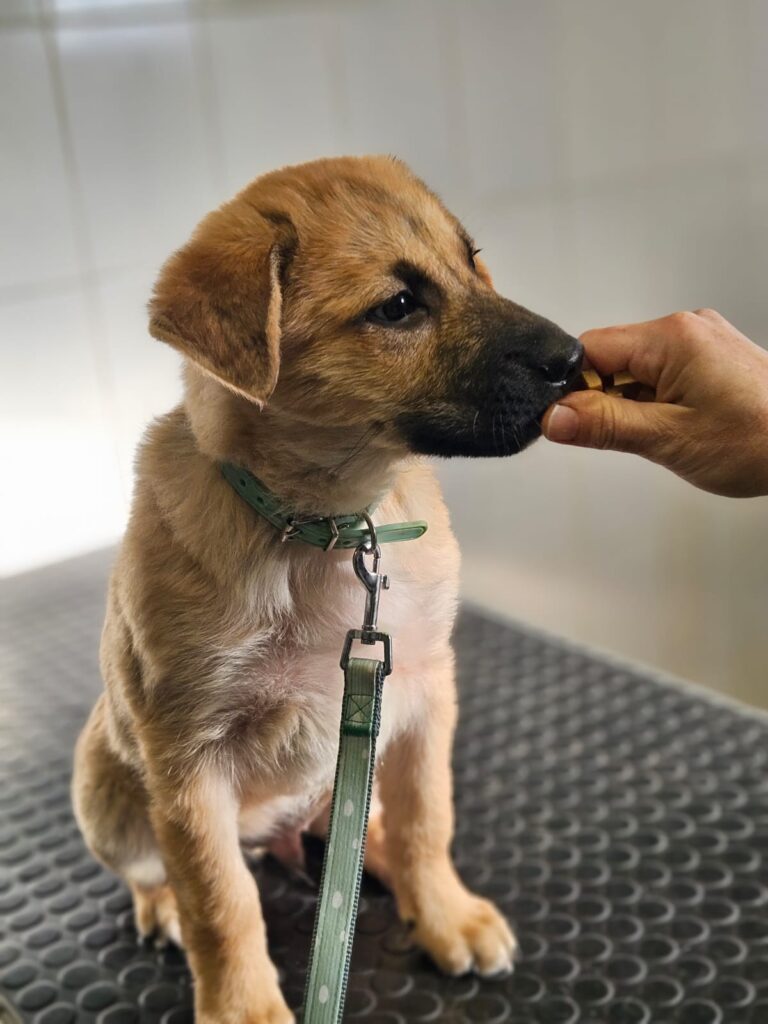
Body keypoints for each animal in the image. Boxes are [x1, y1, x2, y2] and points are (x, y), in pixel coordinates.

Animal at [72, 155, 582, 1024]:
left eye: (472, 260)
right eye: (398, 307)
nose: (575, 357)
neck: (329, 525)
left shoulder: (422, 693)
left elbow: (426, 818)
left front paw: (443, 912)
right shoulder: (187, 761)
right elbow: (220, 899)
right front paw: (241, 1005)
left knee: (358, 821)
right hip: (107, 786)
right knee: (159, 870)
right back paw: (163, 905)